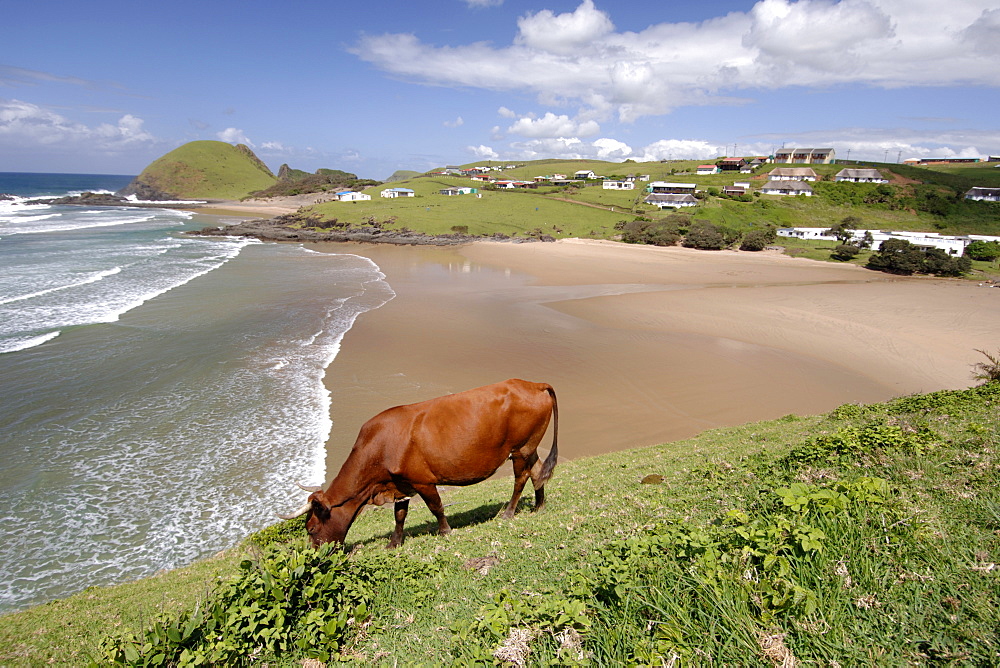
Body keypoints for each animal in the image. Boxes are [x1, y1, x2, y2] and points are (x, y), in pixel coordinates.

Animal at [278, 378, 560, 544]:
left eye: (310, 529)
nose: (318, 557)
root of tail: (532, 383)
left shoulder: (422, 480)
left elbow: (436, 507)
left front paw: (445, 531)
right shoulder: (401, 483)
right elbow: (399, 515)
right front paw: (394, 543)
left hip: (520, 447)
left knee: (521, 478)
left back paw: (509, 513)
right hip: (531, 445)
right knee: (538, 471)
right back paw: (539, 506)